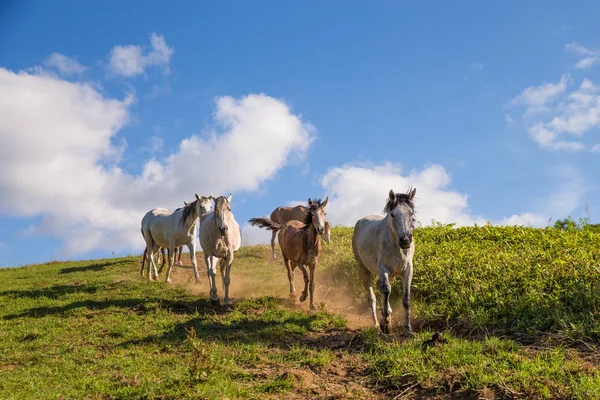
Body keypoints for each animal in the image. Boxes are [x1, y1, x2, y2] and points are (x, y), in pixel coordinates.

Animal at [352, 188, 418, 334]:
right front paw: (386, 323)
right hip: (364, 269)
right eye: (393, 214)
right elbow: (387, 290)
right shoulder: (383, 269)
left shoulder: (408, 270)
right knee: (372, 296)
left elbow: (406, 298)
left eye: (411, 213)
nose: (405, 240)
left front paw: (408, 328)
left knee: (379, 286)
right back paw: (377, 324)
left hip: (392, 273)